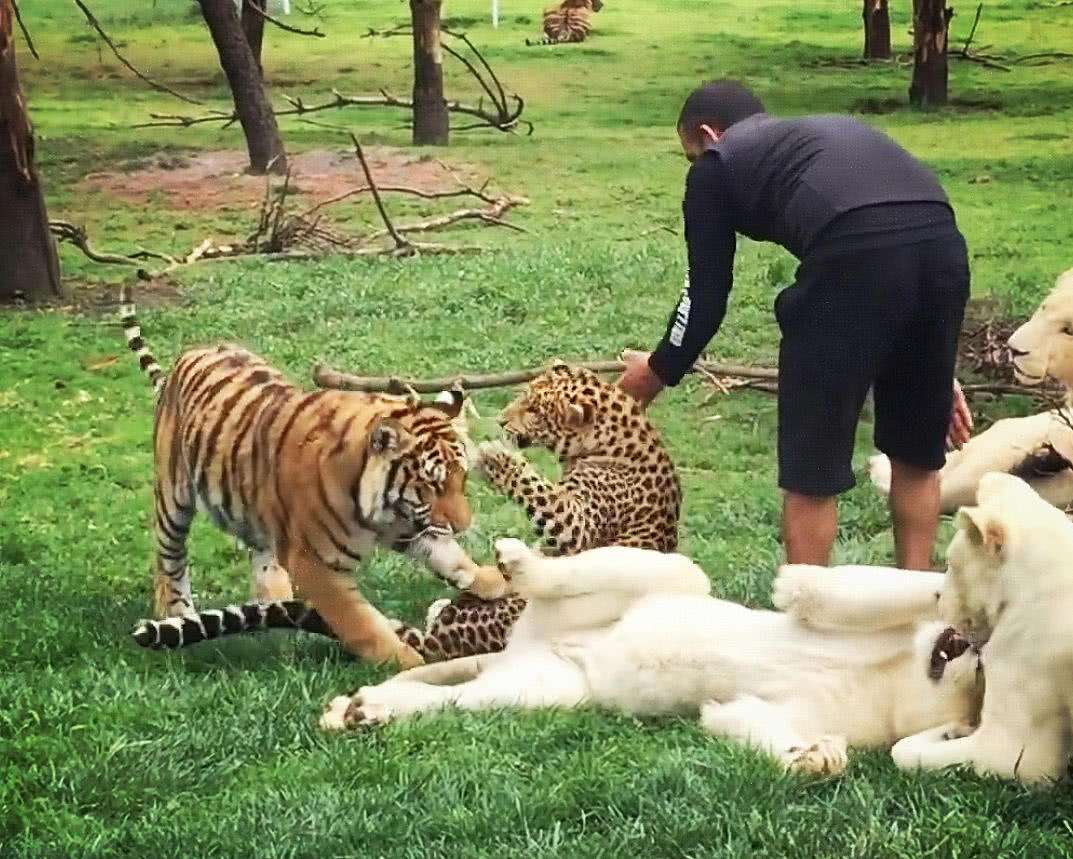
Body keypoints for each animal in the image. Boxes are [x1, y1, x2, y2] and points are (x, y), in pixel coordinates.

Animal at [120, 287, 506, 669]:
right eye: (430, 486)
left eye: (462, 479)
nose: (463, 525)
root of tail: (188, 354)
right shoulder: (314, 564)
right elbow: (360, 621)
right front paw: (403, 659)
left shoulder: (407, 523)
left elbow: (445, 552)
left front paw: (490, 579)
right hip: (173, 500)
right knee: (169, 564)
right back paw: (176, 614)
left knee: (261, 559)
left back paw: (275, 607)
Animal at [317, 540, 982, 772]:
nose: (966, 651)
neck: (902, 682)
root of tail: (530, 640)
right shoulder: (832, 603)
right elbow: (834, 589)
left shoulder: (753, 712)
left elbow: (744, 722)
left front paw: (816, 758)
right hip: (674, 579)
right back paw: (519, 560)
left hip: (545, 689)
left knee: (451, 699)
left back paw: (363, 710)